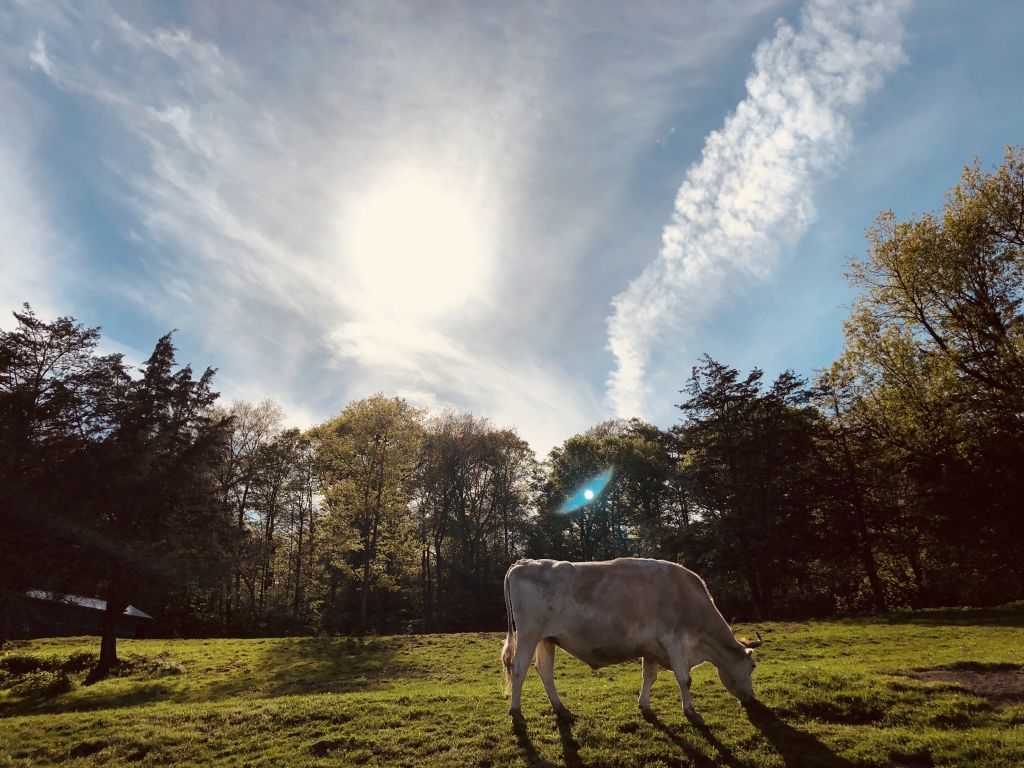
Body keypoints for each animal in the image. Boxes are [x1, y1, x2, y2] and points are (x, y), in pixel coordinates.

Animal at [499, 561, 765, 720]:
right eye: (752, 666)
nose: (752, 699)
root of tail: (522, 563)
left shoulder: (652, 646)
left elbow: (649, 676)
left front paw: (644, 704)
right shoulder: (675, 639)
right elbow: (684, 678)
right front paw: (690, 710)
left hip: (546, 639)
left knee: (544, 670)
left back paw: (561, 708)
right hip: (529, 635)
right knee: (518, 668)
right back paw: (515, 710)